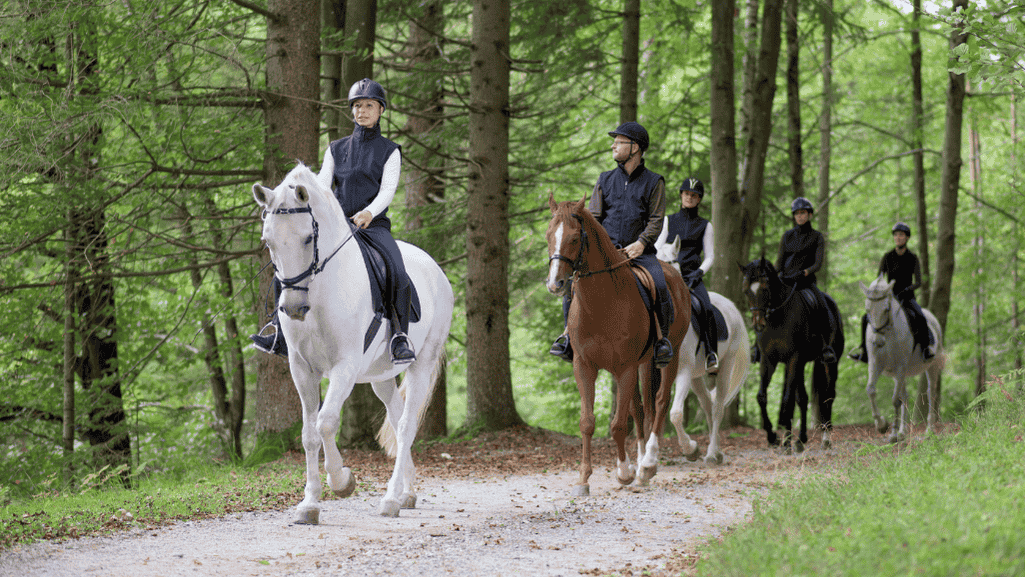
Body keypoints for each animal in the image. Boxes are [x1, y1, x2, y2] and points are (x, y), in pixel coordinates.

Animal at [252, 163, 453, 524]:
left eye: (308, 238)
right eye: (268, 240)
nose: (293, 308)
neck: (319, 292)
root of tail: (436, 270)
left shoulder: (343, 367)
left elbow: (326, 422)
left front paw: (342, 481)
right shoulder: (302, 369)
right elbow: (308, 434)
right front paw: (309, 504)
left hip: (422, 363)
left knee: (406, 425)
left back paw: (390, 499)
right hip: (381, 376)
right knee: (397, 417)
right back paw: (407, 493)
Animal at [544, 195, 690, 496]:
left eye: (574, 238)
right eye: (549, 235)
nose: (555, 284)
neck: (601, 303)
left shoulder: (624, 368)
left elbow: (618, 425)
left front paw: (624, 473)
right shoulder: (584, 366)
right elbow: (588, 423)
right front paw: (584, 478)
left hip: (669, 356)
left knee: (660, 402)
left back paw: (648, 464)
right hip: (643, 364)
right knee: (642, 408)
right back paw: (641, 463)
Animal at [655, 236, 750, 464]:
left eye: (670, 262)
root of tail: (731, 306)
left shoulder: (683, 371)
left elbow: (676, 414)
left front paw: (690, 449)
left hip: (725, 366)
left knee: (717, 408)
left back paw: (712, 454)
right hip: (696, 376)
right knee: (707, 403)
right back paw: (716, 451)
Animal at [739, 258, 842, 453]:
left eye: (765, 287)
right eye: (746, 290)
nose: (758, 325)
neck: (777, 318)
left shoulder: (793, 359)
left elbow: (787, 401)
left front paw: (786, 443)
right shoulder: (768, 361)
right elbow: (762, 397)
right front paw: (773, 438)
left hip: (830, 363)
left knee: (828, 396)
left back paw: (825, 439)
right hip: (802, 365)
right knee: (803, 399)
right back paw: (801, 440)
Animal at [859, 275, 946, 443]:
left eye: (886, 309)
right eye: (867, 309)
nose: (877, 342)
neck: (888, 334)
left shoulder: (900, 367)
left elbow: (895, 400)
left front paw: (891, 433)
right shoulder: (875, 365)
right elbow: (871, 390)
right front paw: (882, 425)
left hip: (930, 366)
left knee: (931, 392)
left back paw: (929, 430)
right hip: (900, 374)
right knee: (905, 396)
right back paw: (903, 431)